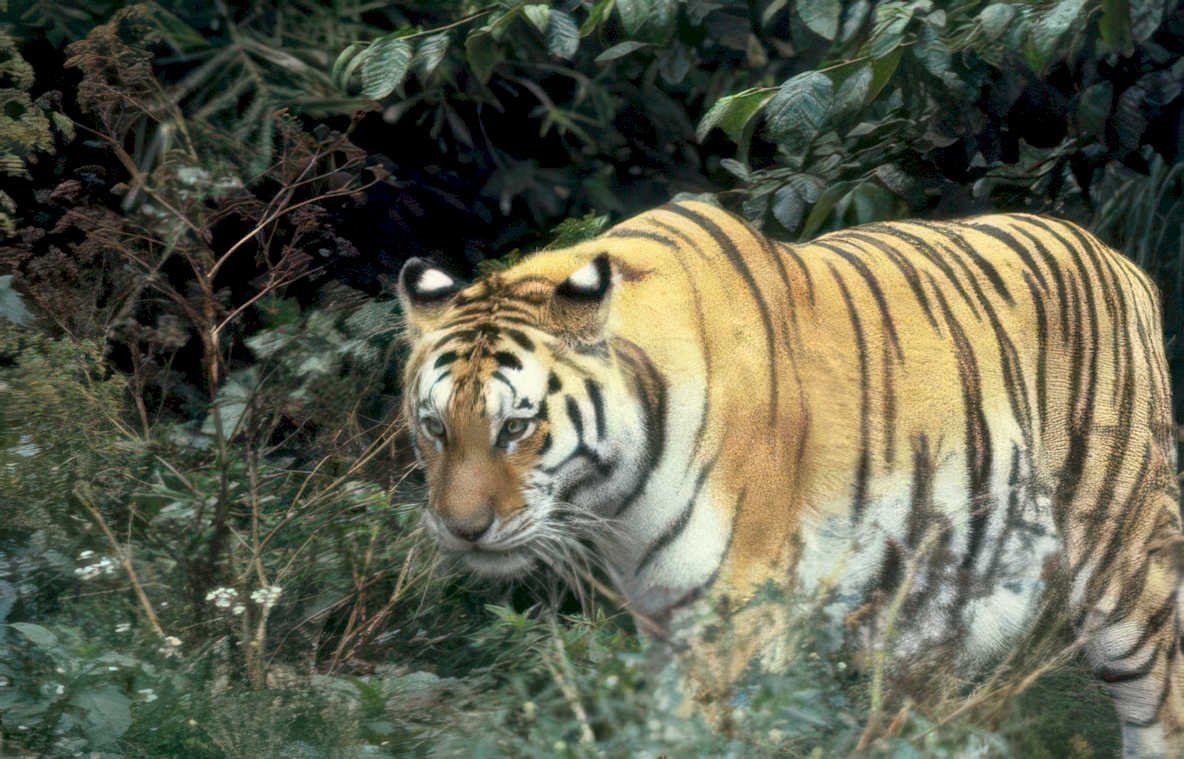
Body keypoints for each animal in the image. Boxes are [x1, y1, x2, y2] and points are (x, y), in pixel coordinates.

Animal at [397, 199, 1181, 756]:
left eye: (516, 427)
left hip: (1127, 565)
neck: (617, 499)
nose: (462, 530)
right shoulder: (663, 617)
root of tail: (1122, 262)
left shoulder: (734, 619)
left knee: (1160, 704)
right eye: (435, 427)